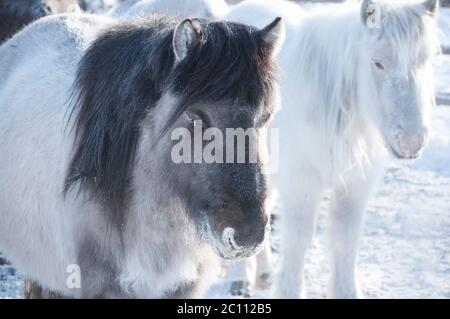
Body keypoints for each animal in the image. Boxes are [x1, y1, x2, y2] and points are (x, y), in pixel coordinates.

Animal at [227, 0, 438, 300]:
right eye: (378, 62)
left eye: (425, 60)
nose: (412, 141)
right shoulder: (302, 183)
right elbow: (298, 240)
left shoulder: (355, 186)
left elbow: (345, 241)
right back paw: (239, 279)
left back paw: (264, 273)